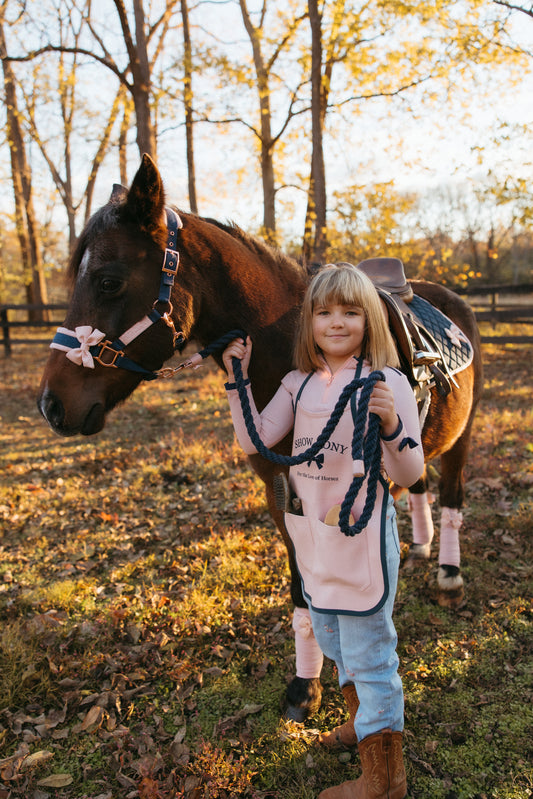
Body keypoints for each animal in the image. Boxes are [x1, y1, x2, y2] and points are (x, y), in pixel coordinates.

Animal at [38, 154, 483, 721]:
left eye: (109, 281)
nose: (51, 406)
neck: (293, 350)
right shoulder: (280, 492)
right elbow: (302, 588)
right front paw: (306, 685)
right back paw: (423, 546)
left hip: (463, 436)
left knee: (451, 495)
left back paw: (448, 572)